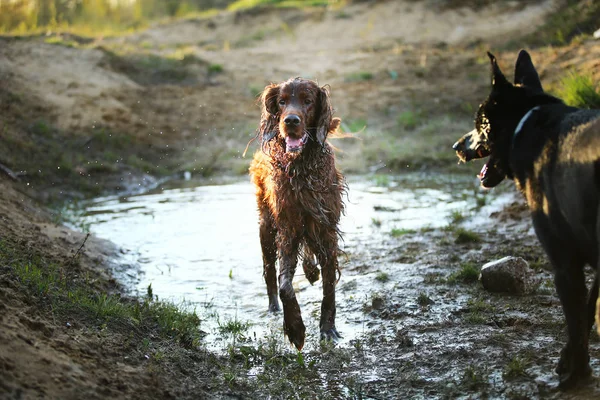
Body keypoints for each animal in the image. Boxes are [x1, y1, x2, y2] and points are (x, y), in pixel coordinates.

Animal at [248, 76, 344, 348]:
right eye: (281, 102)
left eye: (308, 100)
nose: (290, 121)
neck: (301, 167)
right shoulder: (288, 231)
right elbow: (284, 285)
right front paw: (295, 328)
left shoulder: (325, 229)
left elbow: (329, 286)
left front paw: (328, 329)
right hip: (266, 228)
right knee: (269, 272)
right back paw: (273, 308)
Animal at [454, 48, 600, 390]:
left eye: (479, 123)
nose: (456, 147)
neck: (525, 122)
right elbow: (587, 313)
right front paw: (571, 362)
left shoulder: (565, 264)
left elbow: (577, 320)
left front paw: (576, 375)